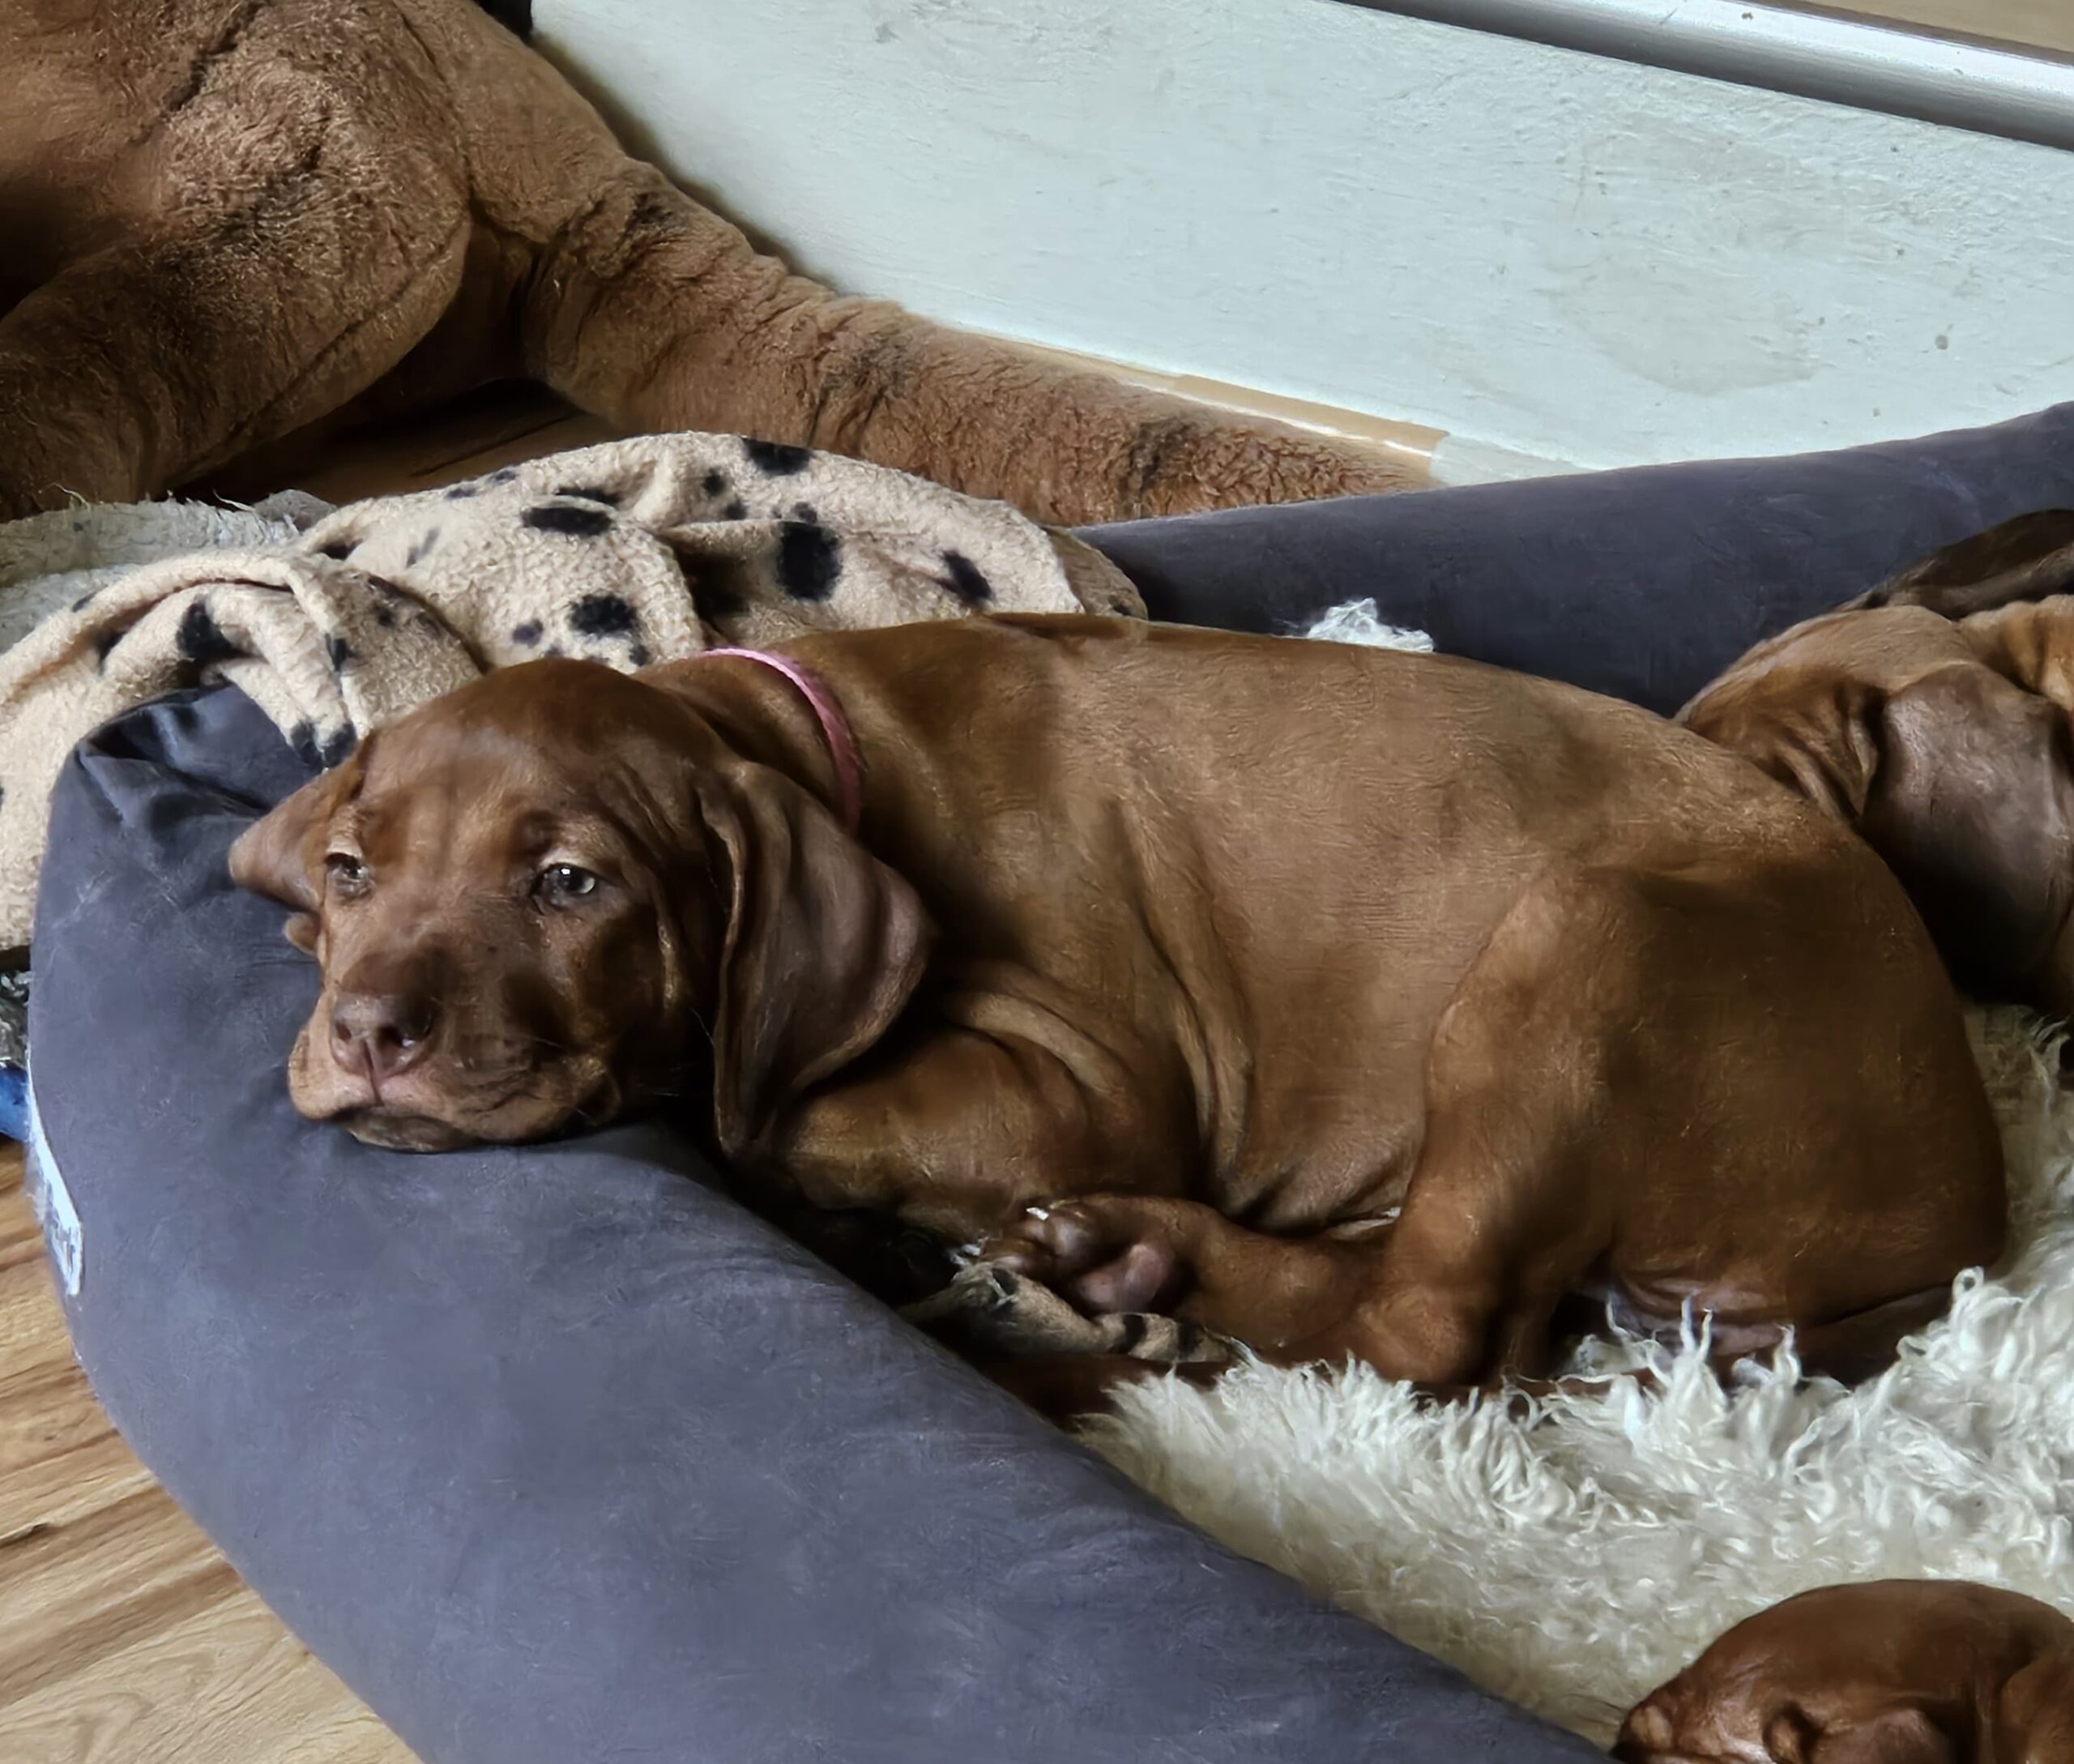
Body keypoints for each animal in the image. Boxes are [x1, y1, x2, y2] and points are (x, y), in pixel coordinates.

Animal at [230, 616, 2004, 1390]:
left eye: (571, 885)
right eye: (351, 870)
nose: (369, 1032)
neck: (813, 747)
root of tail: (1961, 1212)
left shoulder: (1081, 1083)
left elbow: (784, 1103)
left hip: (1586, 933)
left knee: (1425, 1334)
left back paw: (1127, 1274)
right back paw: (1118, 1263)